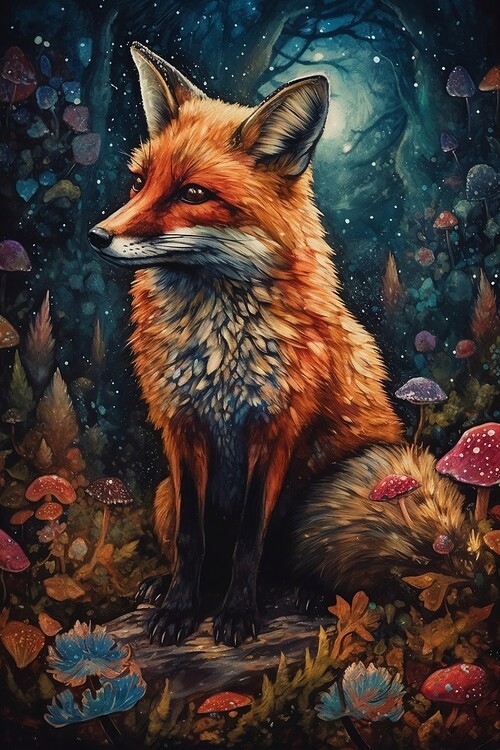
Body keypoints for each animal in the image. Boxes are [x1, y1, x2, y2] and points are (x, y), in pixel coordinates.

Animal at [88, 42, 403, 648]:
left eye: (193, 193)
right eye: (138, 183)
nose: (95, 236)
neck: (218, 351)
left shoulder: (274, 431)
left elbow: (249, 541)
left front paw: (235, 615)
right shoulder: (182, 427)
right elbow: (193, 541)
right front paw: (180, 610)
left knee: (308, 562)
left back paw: (310, 591)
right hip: (163, 493)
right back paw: (162, 587)